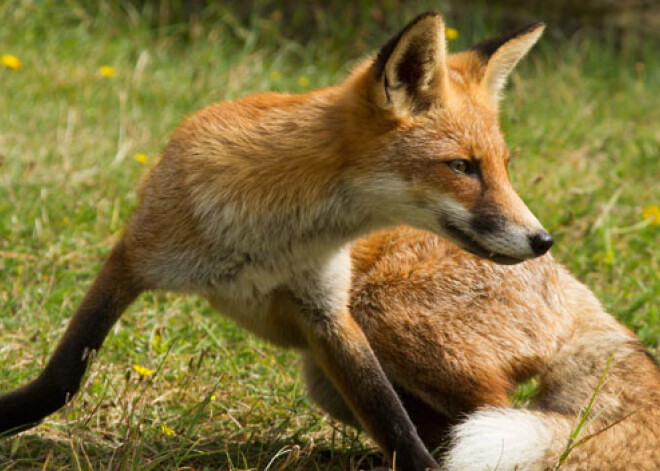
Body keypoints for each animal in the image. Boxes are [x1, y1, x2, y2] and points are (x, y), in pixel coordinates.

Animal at [0, 12, 552, 470]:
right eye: (462, 166)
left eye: (504, 167)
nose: (542, 239)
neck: (271, 244)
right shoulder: (136, 256)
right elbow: (62, 377)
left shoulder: (328, 310)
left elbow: (392, 422)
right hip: (334, 373)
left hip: (381, 318)